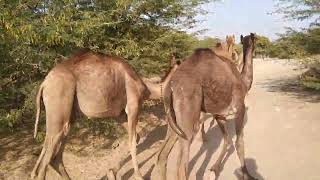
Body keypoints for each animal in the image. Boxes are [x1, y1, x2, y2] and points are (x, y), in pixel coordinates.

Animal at [30, 48, 151, 180]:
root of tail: (44, 84)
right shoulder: (133, 104)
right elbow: (133, 141)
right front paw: (138, 176)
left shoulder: (120, 114)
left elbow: (138, 136)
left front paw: (112, 173)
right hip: (58, 102)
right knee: (46, 161)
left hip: (66, 115)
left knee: (54, 155)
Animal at [156, 33, 256, 179]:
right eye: (255, 40)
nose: (254, 48)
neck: (243, 82)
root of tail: (170, 86)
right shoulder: (239, 108)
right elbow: (239, 143)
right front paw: (247, 174)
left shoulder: (219, 114)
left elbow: (227, 140)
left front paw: (214, 169)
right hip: (188, 118)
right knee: (181, 168)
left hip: (172, 120)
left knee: (162, 155)